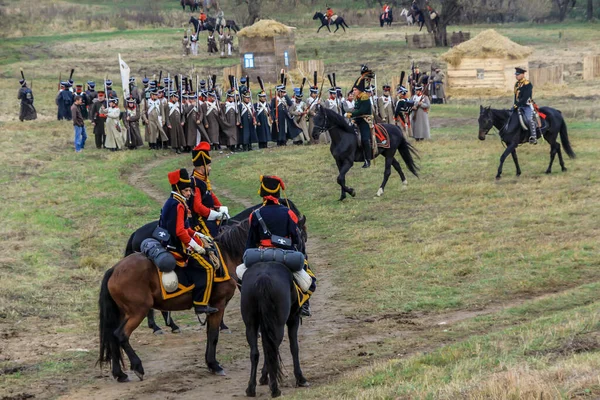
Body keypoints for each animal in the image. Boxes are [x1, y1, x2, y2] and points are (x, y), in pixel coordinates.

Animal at [97, 222, 247, 382]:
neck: (227, 255)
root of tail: (114, 269)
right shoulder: (219, 303)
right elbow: (213, 335)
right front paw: (214, 365)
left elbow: (210, 333)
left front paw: (210, 363)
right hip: (138, 311)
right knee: (121, 335)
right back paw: (138, 367)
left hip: (122, 313)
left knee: (112, 337)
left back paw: (120, 374)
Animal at [240, 262, 308, 396]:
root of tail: (263, 277)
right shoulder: (293, 318)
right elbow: (294, 347)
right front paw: (300, 378)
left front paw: (263, 377)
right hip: (278, 325)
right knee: (272, 349)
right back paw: (275, 389)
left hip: (251, 324)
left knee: (256, 352)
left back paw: (251, 389)